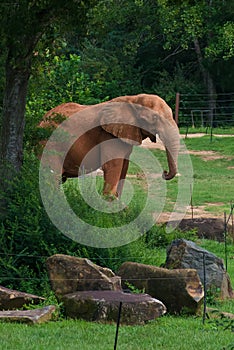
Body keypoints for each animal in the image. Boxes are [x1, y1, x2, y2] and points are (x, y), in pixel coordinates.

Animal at [41, 100, 181, 198]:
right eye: (155, 118)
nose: (164, 172)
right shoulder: (108, 136)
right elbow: (113, 165)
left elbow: (124, 166)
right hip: (50, 144)